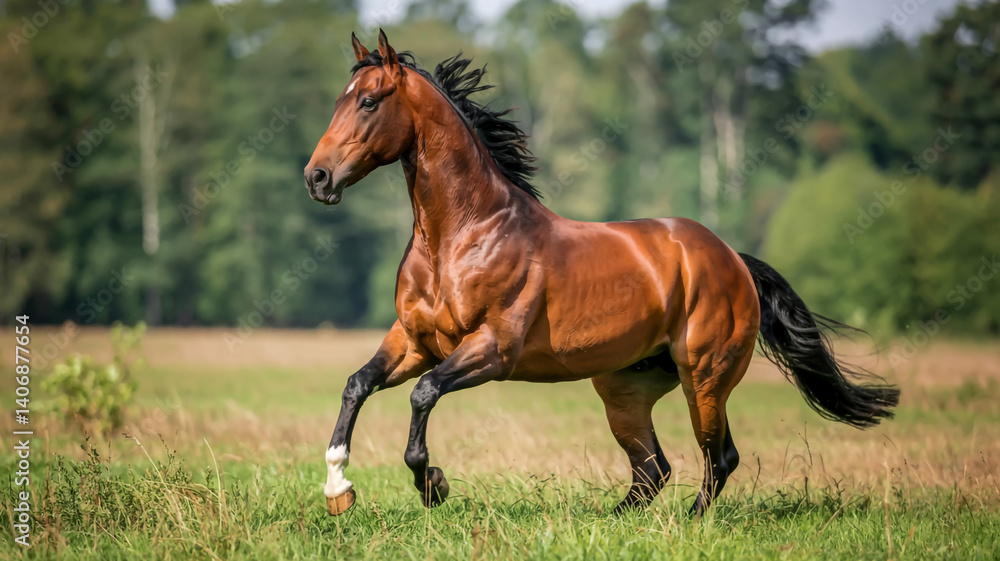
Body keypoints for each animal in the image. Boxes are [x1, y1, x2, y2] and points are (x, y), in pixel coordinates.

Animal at [303, 30, 899, 517]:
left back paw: (689, 523)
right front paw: (339, 490)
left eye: (368, 101)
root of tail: (731, 257)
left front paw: (434, 484)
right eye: (337, 100)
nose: (317, 177)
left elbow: (423, 395)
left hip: (704, 377)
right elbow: (357, 384)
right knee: (653, 469)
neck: (463, 236)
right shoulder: (414, 341)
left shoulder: (492, 350)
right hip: (623, 388)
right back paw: (616, 520)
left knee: (719, 457)